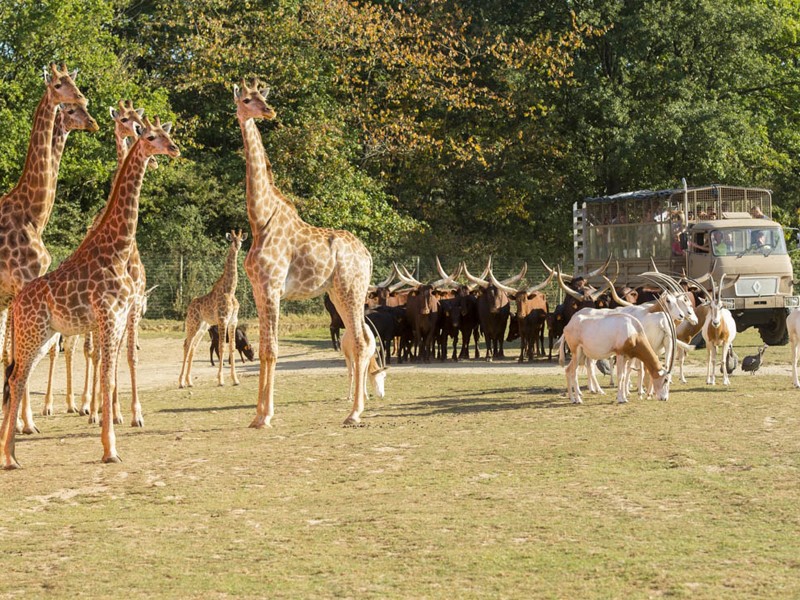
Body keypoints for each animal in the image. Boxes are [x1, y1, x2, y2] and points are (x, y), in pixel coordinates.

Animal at [1, 115, 180, 466]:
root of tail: (16, 304)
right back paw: (10, 455)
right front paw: (110, 449)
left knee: (18, 378)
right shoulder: (108, 316)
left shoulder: (119, 317)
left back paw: (10, 454)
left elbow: (112, 371)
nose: (175, 149)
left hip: (42, 337)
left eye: (166, 133)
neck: (117, 250)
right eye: (151, 137)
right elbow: (107, 374)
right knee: (16, 378)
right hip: (32, 335)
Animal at [179, 227, 247, 386]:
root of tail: (189, 307)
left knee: (193, 347)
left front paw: (235, 379)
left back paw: (189, 381)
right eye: (232, 240)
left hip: (203, 326)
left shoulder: (233, 321)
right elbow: (222, 346)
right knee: (186, 344)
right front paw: (221, 379)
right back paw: (181, 382)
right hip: (193, 323)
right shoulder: (222, 319)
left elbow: (232, 347)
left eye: (241, 239)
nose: (238, 246)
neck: (230, 290)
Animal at [234, 79, 378, 426]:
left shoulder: (272, 288)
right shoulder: (259, 290)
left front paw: (265, 417)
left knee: (360, 341)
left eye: (260, 97)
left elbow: (271, 350)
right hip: (339, 293)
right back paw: (355, 408)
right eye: (246, 100)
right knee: (361, 341)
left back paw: (354, 413)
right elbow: (264, 348)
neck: (260, 220)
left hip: (352, 290)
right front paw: (258, 415)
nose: (269, 111)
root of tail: (367, 255)